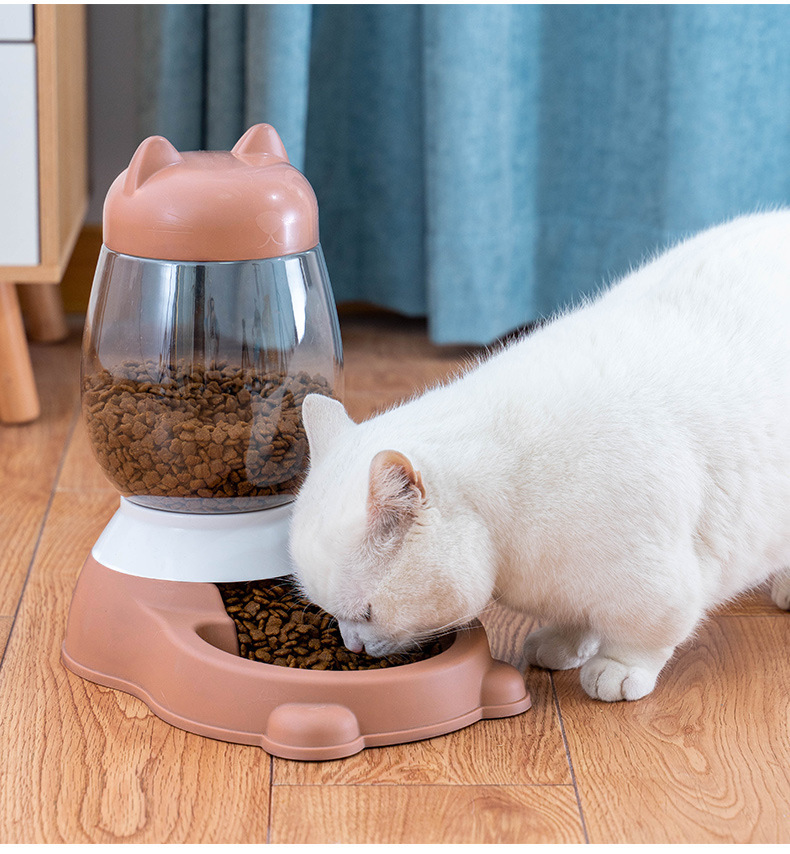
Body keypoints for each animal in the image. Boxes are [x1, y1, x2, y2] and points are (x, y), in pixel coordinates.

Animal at [288, 212, 790, 704]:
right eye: (331, 614)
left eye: (365, 613)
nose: (352, 645)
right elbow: (576, 616)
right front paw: (563, 643)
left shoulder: (656, 583)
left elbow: (644, 634)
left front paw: (616, 669)